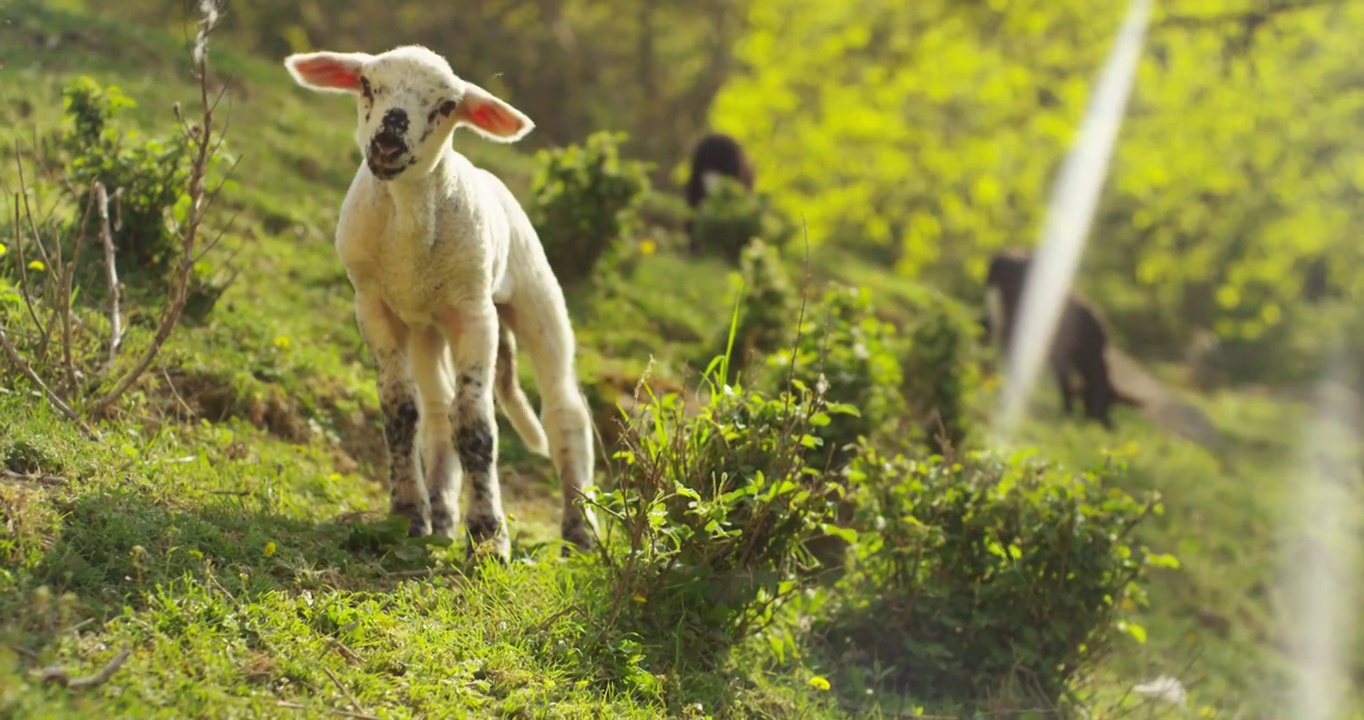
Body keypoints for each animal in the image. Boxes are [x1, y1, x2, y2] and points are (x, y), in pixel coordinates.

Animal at [279, 46, 594, 561]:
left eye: (447, 105)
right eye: (366, 84)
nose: (392, 129)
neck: (408, 213)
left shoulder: (475, 313)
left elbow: (476, 422)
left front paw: (488, 536)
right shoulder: (372, 304)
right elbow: (401, 409)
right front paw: (409, 514)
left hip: (535, 294)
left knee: (564, 408)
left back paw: (580, 532)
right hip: (426, 328)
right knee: (437, 406)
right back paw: (442, 515)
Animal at [982, 249, 1140, 428]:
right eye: (1107, 402)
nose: (1108, 425)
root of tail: (1000, 260)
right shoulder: (1059, 350)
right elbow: (1063, 377)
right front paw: (1067, 411)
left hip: (996, 313)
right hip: (1017, 318)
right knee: (1007, 348)